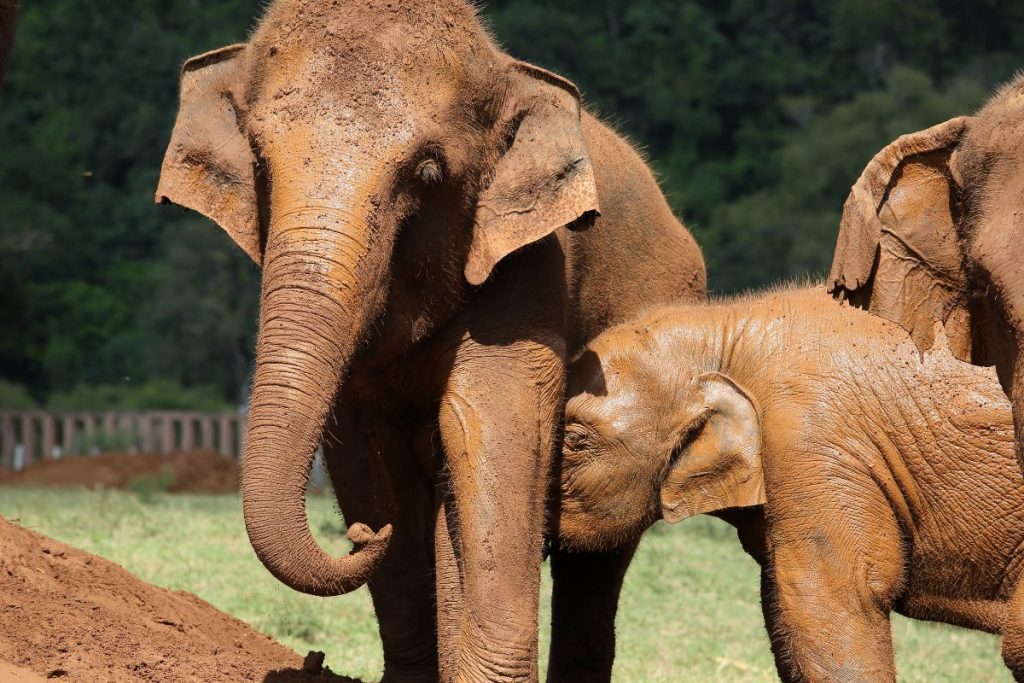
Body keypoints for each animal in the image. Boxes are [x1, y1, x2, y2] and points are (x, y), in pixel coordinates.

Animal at [155, 0, 706, 680]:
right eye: (258, 162)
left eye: (425, 173)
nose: (361, 536)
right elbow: (364, 453)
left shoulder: (528, 267)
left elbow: (489, 431)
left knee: (595, 566)